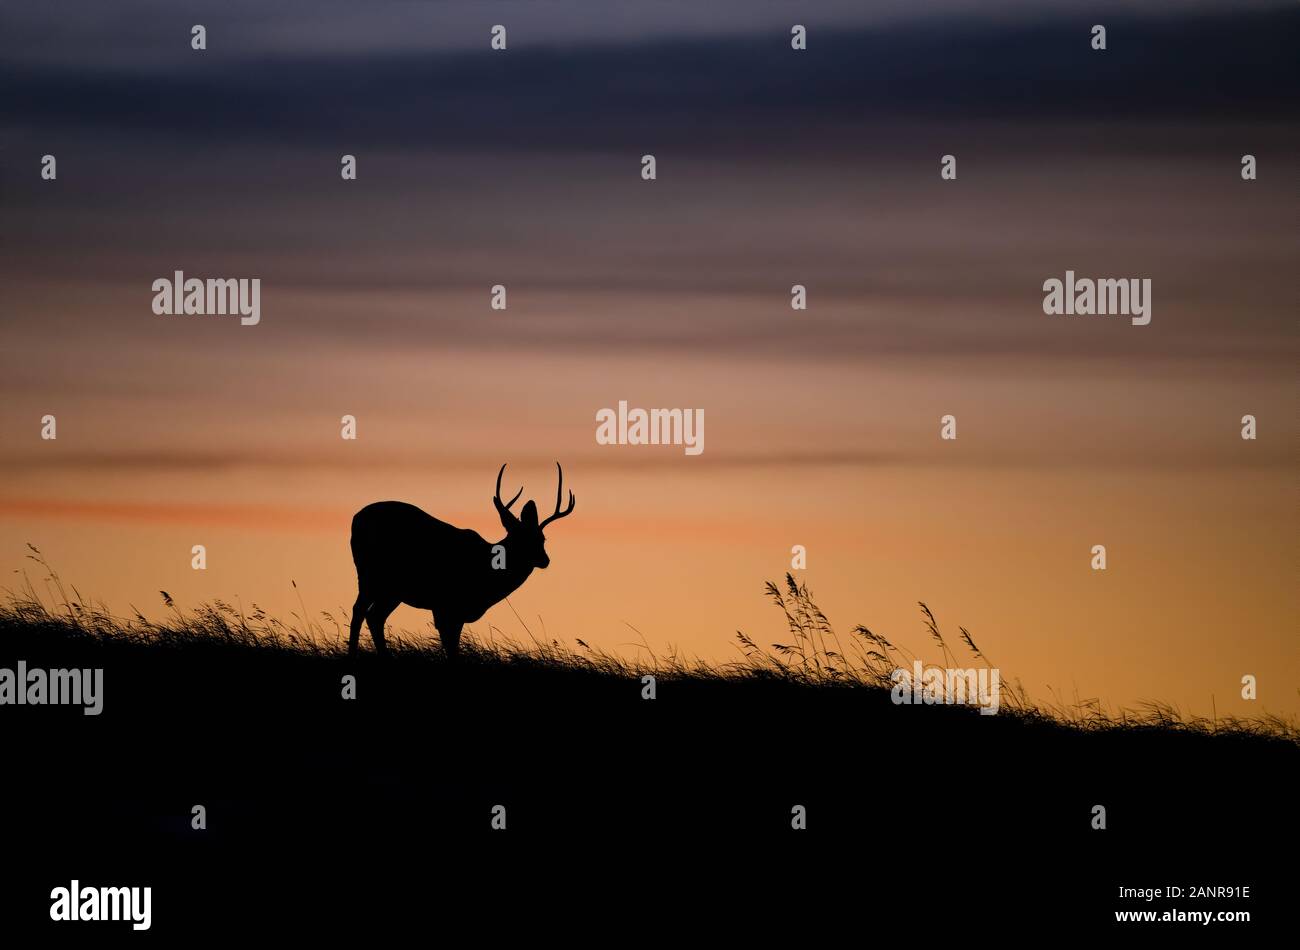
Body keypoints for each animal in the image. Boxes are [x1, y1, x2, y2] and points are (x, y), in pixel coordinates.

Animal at [348, 463, 576, 660]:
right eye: (520, 540)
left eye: (542, 539)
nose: (545, 560)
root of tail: (355, 518)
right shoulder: (445, 606)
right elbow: (451, 649)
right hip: (371, 574)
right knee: (360, 610)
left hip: (391, 589)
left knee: (375, 616)